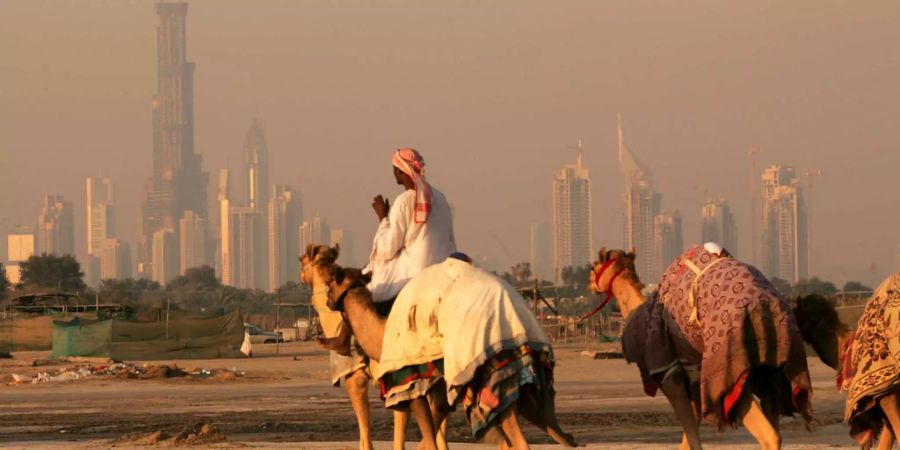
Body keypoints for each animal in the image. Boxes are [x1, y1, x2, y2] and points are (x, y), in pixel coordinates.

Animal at [310, 244, 576, 448]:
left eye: (333, 281)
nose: (327, 300)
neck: (382, 333)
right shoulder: (437, 390)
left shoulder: (410, 379)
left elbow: (427, 438)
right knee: (551, 432)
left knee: (516, 442)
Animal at [592, 246, 816, 450]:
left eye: (595, 267)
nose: (591, 283)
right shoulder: (693, 382)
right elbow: (689, 437)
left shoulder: (670, 375)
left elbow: (692, 436)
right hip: (773, 373)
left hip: (730, 375)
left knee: (769, 435)